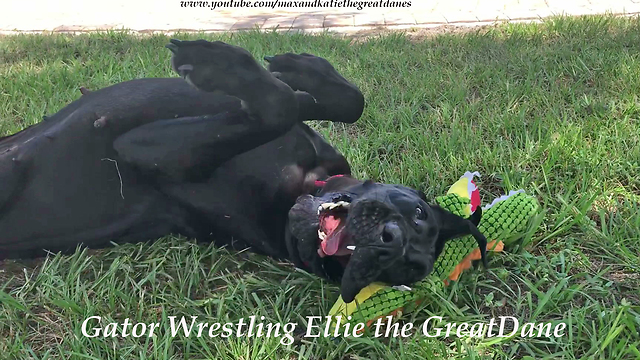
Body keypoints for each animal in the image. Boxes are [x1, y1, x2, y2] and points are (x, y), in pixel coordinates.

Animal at [0, 39, 484, 302]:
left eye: (399, 273)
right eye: (418, 213)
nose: (389, 243)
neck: (299, 185)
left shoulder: (149, 149)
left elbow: (279, 104)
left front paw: (222, 67)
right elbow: (340, 100)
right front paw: (305, 69)